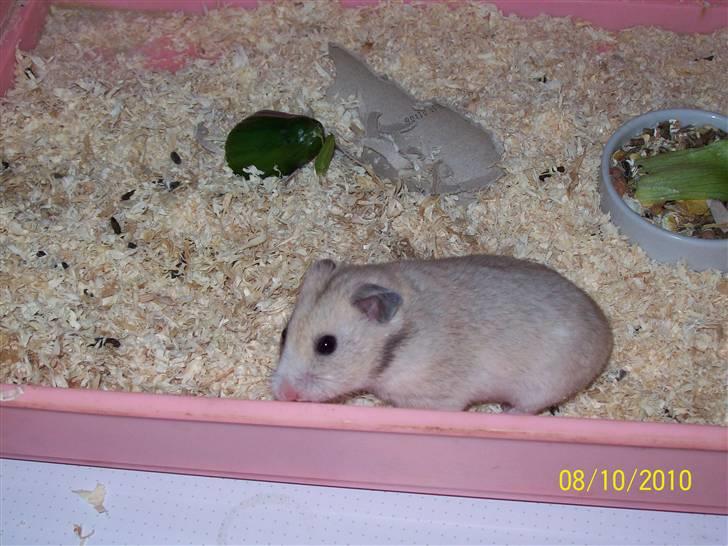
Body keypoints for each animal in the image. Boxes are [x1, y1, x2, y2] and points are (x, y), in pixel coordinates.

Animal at [271, 255, 613, 413]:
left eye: (326, 345)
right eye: (284, 334)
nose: (282, 395)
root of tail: (607, 337)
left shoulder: (433, 400)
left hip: (540, 387)